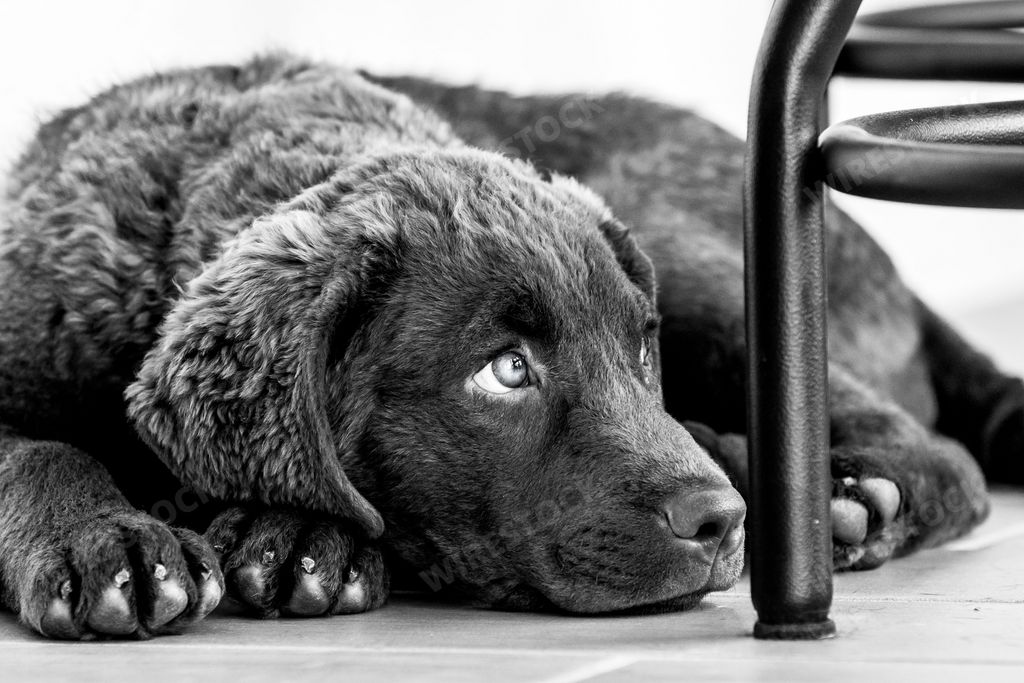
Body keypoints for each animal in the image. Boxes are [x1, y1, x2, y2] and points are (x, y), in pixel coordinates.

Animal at [4, 54, 1019, 643]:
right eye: (505, 369)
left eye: (639, 350)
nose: (719, 522)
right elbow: (36, 446)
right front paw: (110, 542)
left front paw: (288, 535)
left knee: (946, 454)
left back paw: (846, 500)